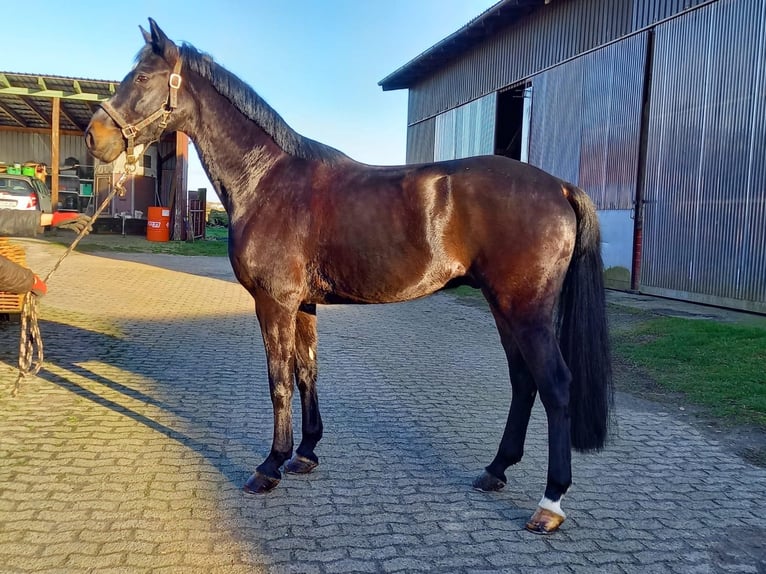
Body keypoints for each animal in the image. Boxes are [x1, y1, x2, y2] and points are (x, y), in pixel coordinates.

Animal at [85, 21, 612, 536]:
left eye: (143, 77)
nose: (94, 137)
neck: (267, 180)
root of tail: (558, 186)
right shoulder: (302, 304)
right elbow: (306, 373)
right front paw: (305, 454)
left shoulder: (272, 303)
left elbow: (278, 381)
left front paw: (270, 465)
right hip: (504, 308)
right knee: (524, 382)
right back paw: (495, 470)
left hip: (527, 310)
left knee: (555, 385)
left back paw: (550, 503)